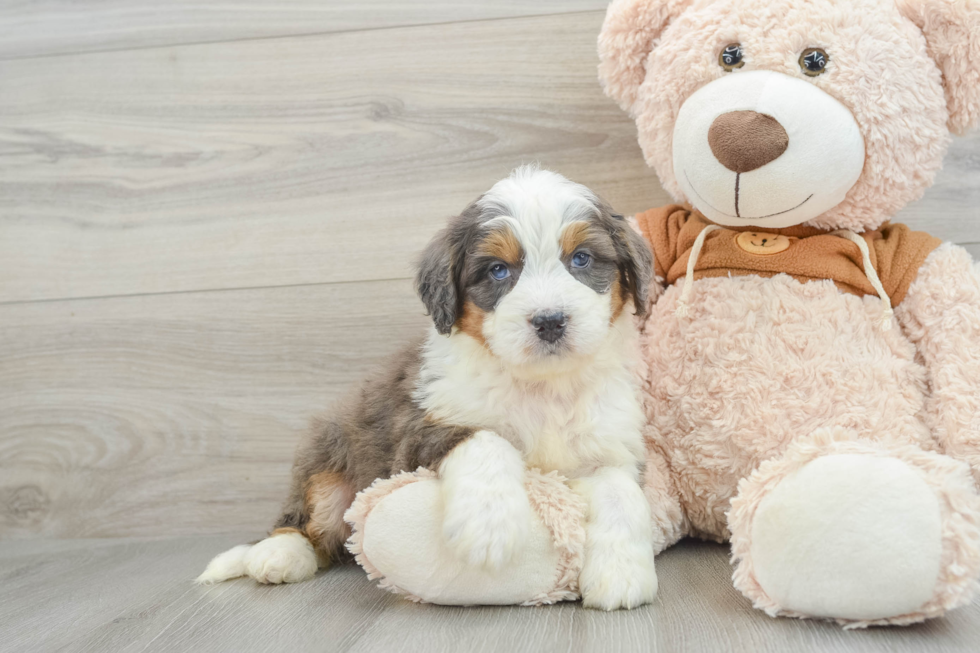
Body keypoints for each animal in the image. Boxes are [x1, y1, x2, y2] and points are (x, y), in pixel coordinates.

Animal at [197, 166, 660, 608]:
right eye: (498, 270)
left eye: (581, 259)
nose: (549, 321)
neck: (540, 386)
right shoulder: (420, 427)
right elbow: (488, 439)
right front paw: (488, 524)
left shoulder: (608, 445)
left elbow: (623, 495)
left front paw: (622, 575)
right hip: (326, 458)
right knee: (305, 520)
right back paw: (277, 554)